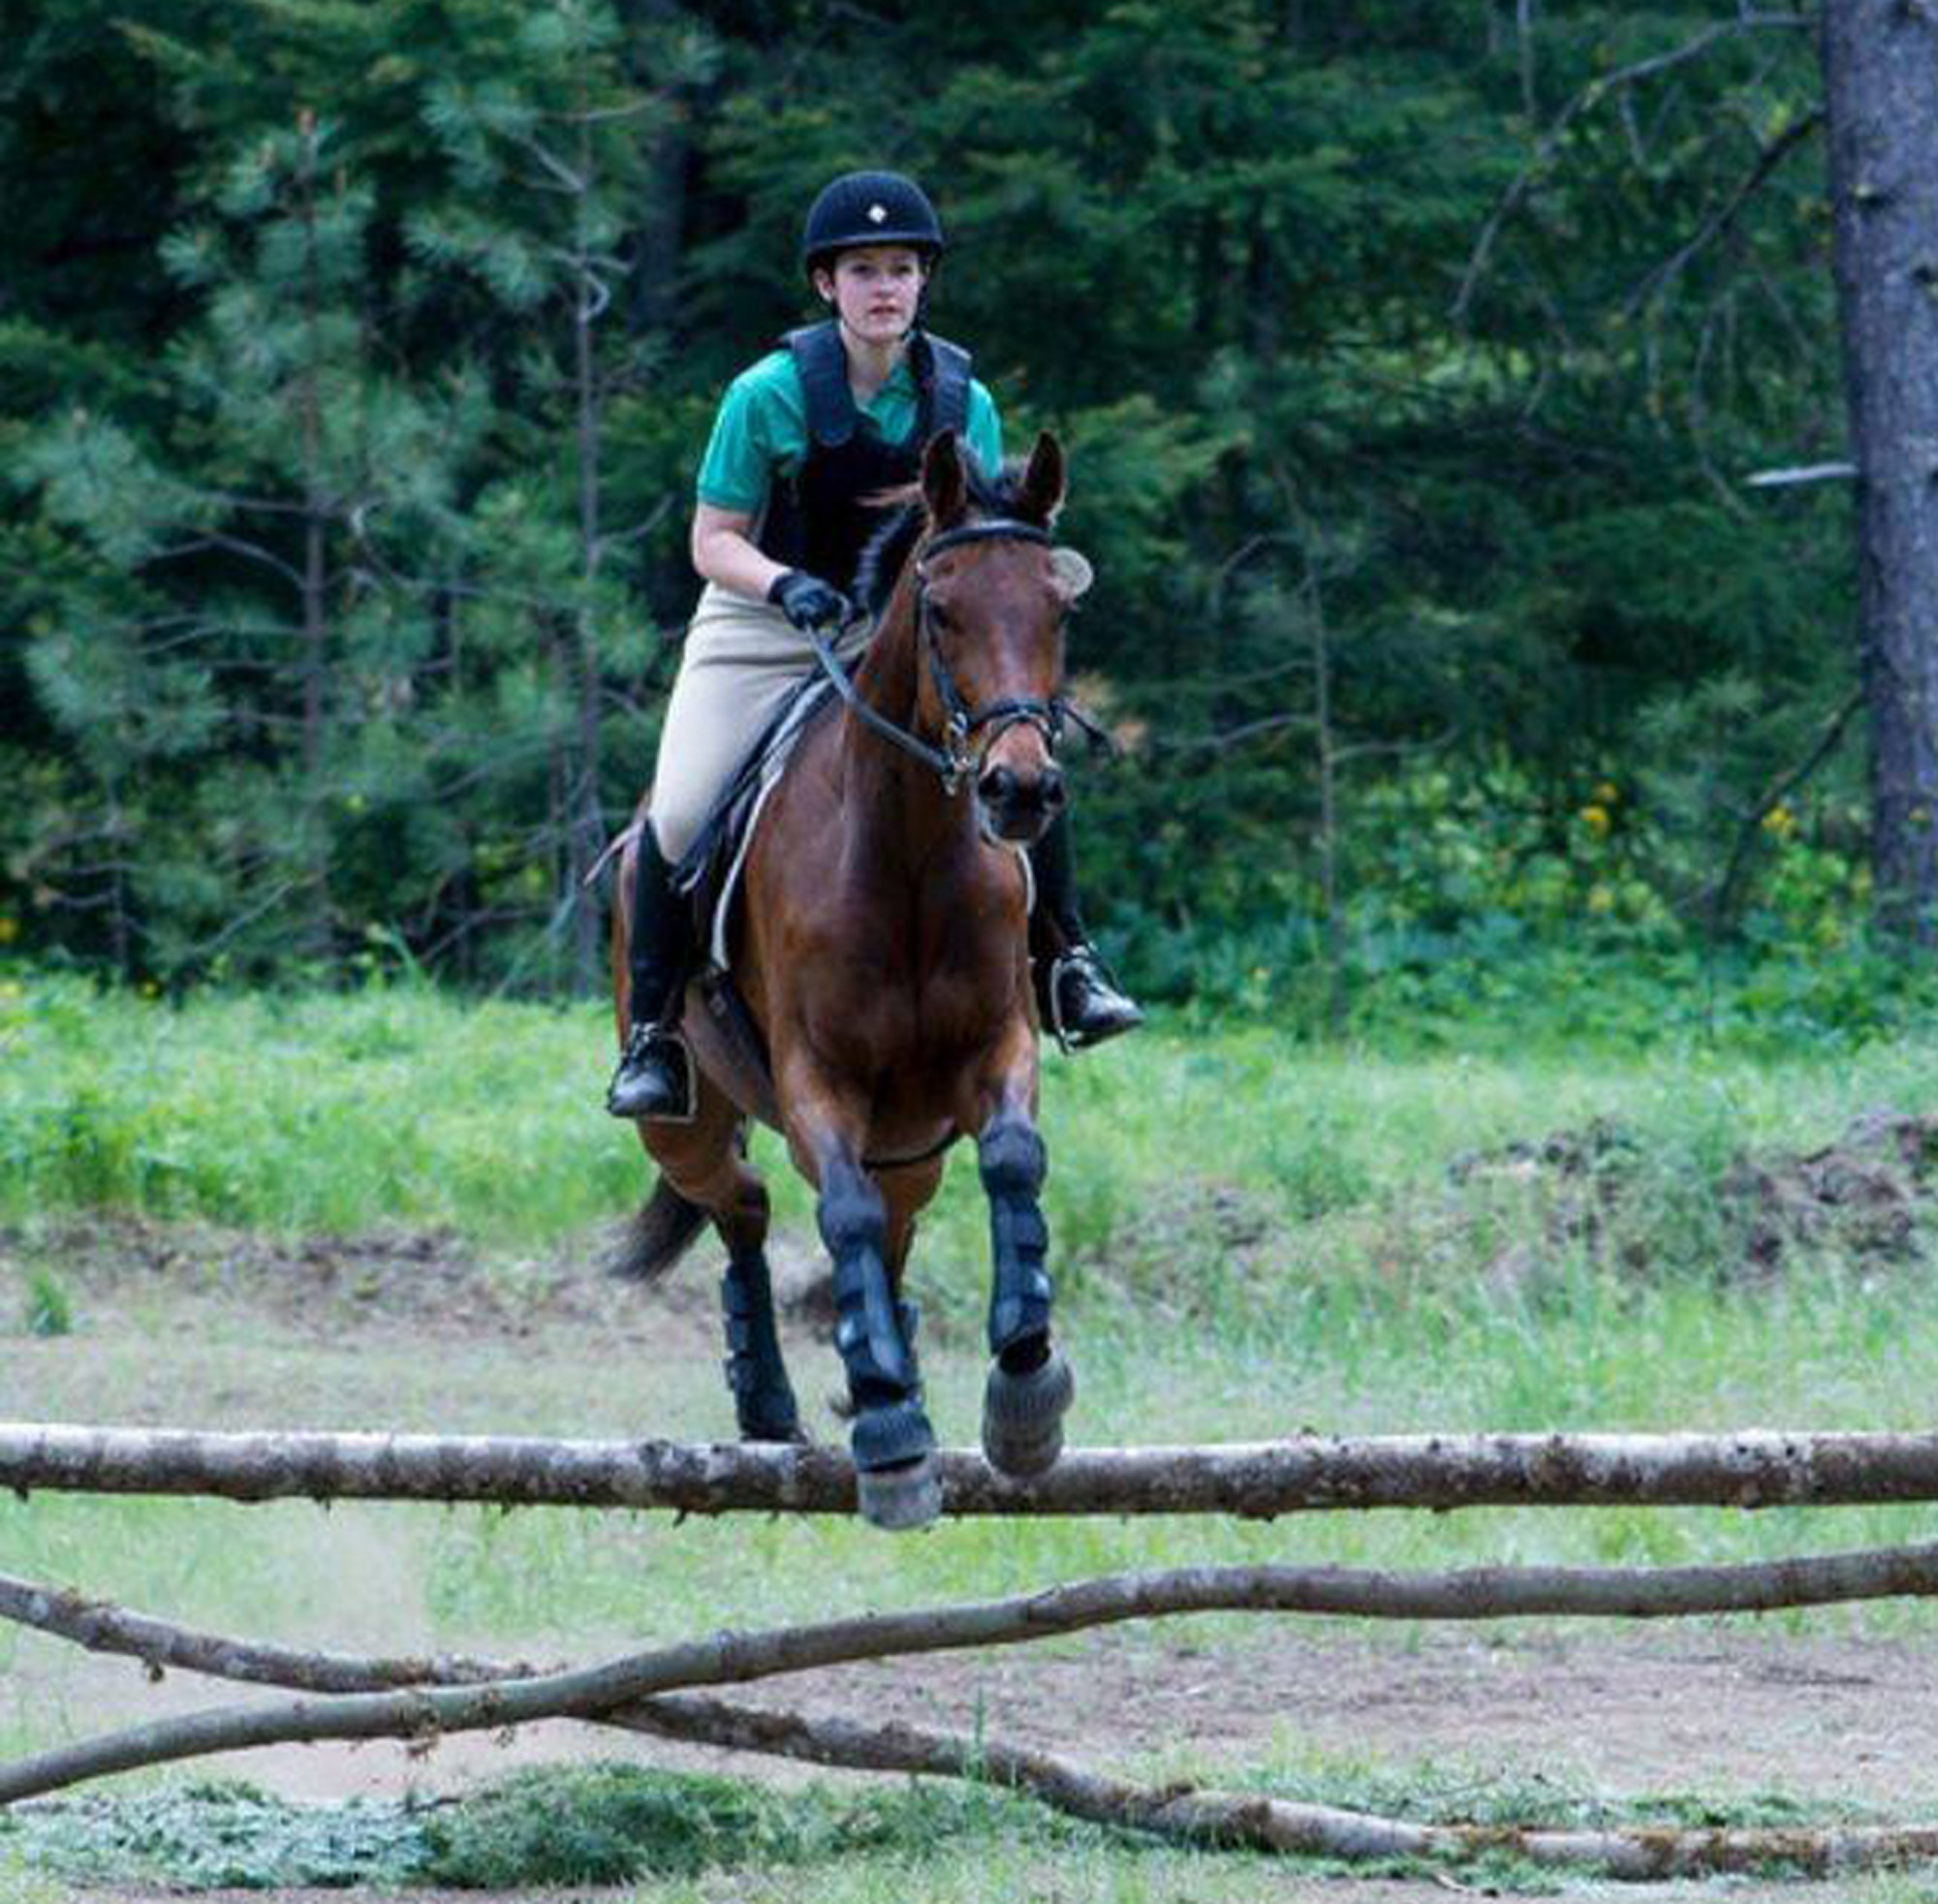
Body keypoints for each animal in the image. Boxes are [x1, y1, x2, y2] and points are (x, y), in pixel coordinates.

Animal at [608, 427, 1086, 1531]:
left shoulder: (997, 1048)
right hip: (682, 1116)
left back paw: (884, 1348)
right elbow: (844, 1217)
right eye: (941, 609)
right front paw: (890, 1432)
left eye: (1059, 609)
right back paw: (772, 1395)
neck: (905, 847)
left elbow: (1012, 1161)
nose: (1019, 789)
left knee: (892, 1219)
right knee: (740, 1200)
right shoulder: (814, 1079)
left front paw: (1024, 1386)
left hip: (910, 1142)